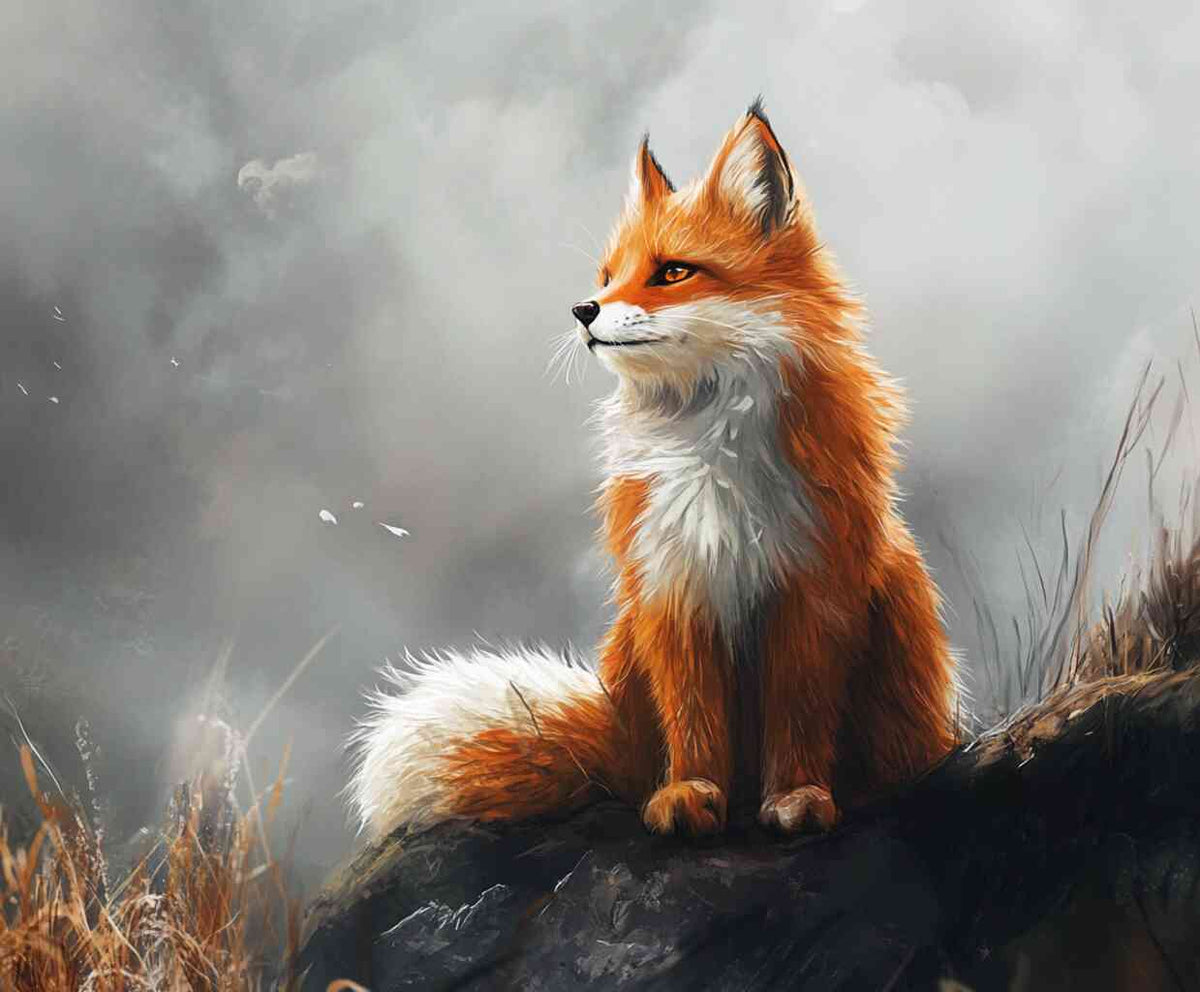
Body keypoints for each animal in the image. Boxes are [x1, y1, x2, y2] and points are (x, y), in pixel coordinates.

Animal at [349, 100, 960, 839]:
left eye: (672, 272)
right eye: (608, 276)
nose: (583, 310)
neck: (711, 453)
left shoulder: (814, 589)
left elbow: (800, 711)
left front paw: (797, 795)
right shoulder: (672, 586)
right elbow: (693, 718)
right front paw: (689, 792)